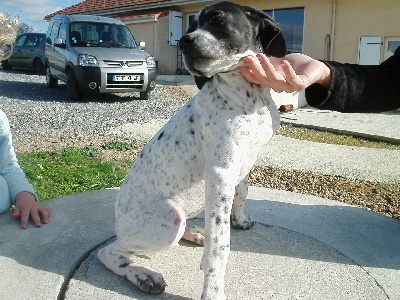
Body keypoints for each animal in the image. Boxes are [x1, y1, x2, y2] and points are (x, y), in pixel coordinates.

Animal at [97, 1, 286, 298]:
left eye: (217, 18)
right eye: (190, 26)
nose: (184, 42)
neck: (247, 95)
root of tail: (119, 221)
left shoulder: (245, 161)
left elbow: (242, 194)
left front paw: (240, 220)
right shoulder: (221, 174)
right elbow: (220, 247)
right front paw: (213, 291)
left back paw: (196, 233)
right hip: (169, 219)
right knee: (110, 252)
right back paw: (144, 275)